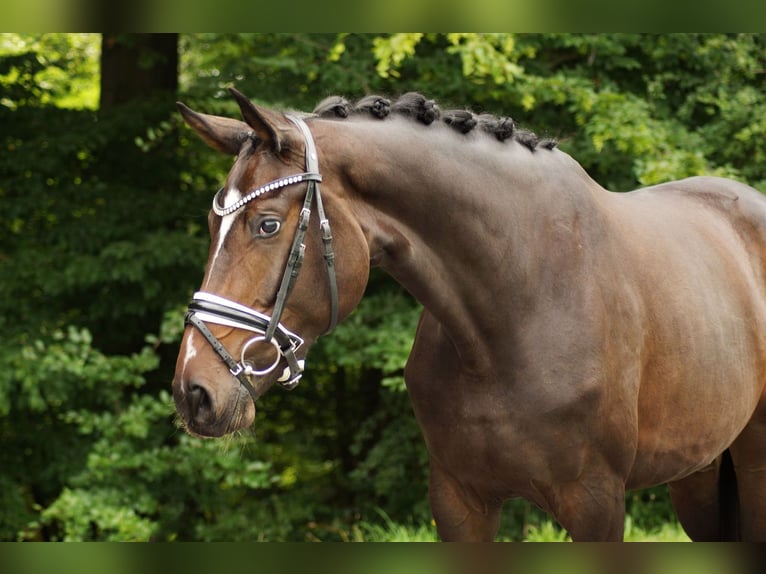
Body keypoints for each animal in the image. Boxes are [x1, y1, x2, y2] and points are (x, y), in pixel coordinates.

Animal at [172, 87, 766, 541]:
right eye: (211, 222)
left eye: (268, 224)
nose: (193, 391)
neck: (514, 309)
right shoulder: (459, 501)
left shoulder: (596, 503)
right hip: (701, 475)